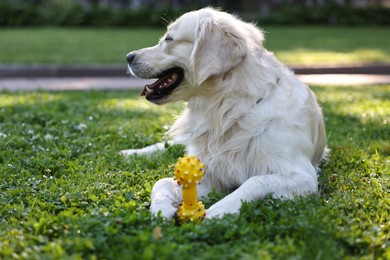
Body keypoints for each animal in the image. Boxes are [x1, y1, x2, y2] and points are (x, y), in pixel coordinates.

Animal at [122, 7, 326, 219]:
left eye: (169, 39)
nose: (128, 57)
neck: (229, 111)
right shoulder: (211, 174)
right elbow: (161, 182)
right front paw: (161, 208)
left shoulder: (302, 176)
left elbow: (255, 181)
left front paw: (215, 213)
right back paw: (131, 152)